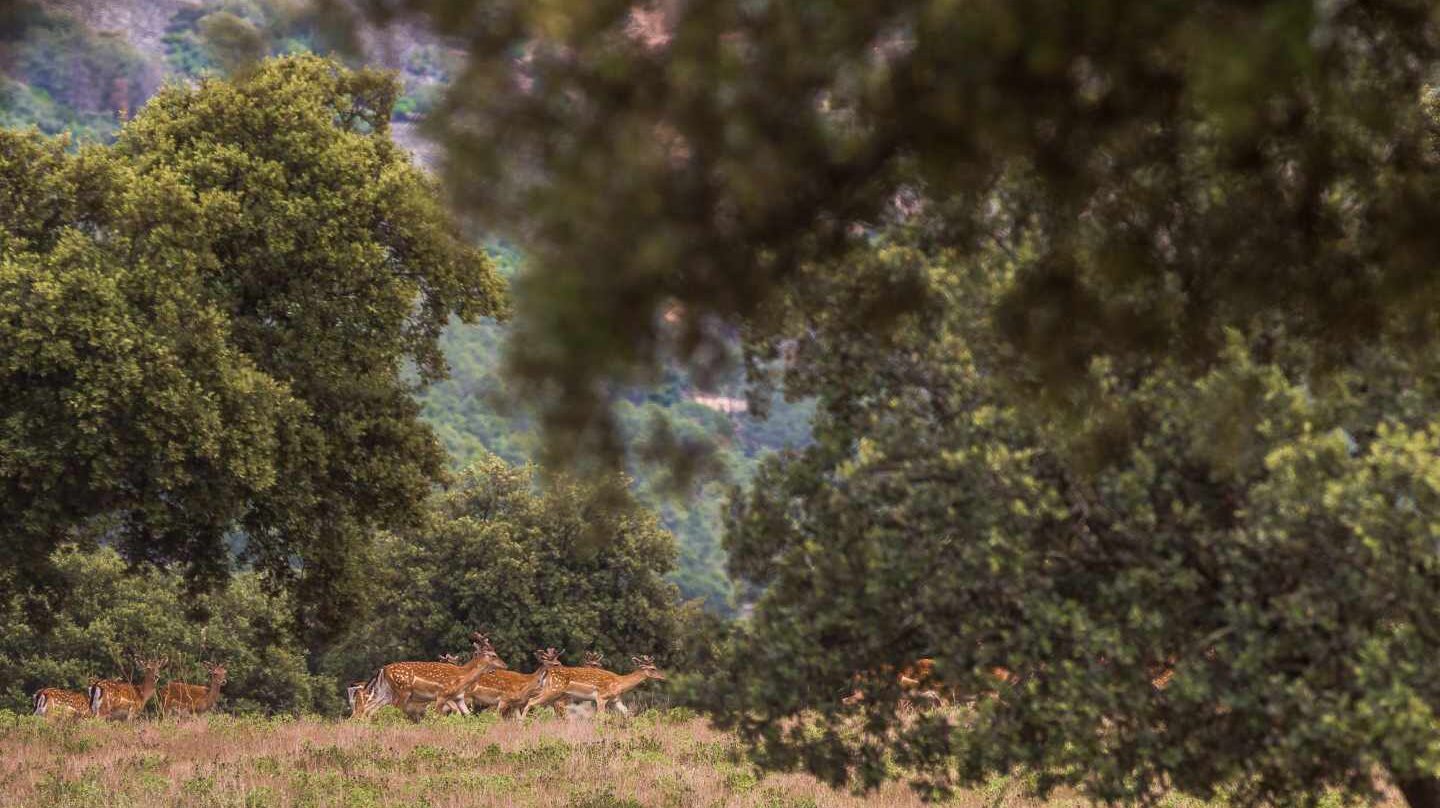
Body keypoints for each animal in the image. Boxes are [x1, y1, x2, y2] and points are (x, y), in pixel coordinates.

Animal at [362, 630, 509, 717]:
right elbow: (436, 715)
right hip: (403, 691)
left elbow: (468, 716)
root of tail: (384, 669)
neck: (462, 677)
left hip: (386, 692)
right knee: (393, 710)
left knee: (369, 708)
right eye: (493, 655)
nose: (505, 665)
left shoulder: (458, 698)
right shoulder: (441, 695)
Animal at [524, 651, 668, 714]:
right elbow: (600, 717)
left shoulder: (616, 700)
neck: (620, 683)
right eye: (653, 668)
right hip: (554, 690)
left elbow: (628, 713)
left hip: (550, 691)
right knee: (531, 701)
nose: (663, 677)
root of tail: (548, 673)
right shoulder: (601, 697)